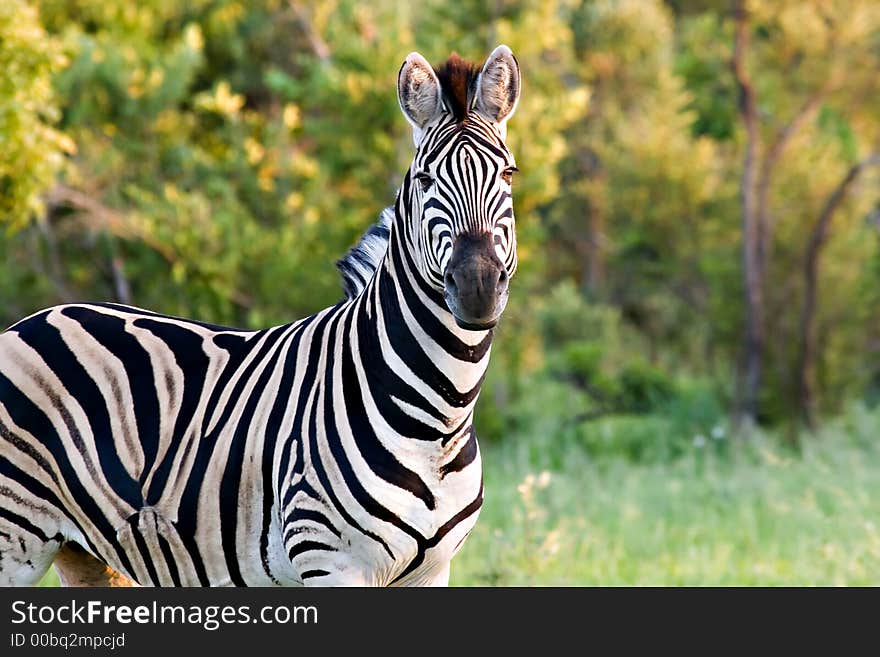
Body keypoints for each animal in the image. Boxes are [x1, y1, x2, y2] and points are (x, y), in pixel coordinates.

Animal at [0, 47, 520, 588]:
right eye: (424, 180)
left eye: (508, 175)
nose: (478, 286)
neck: (437, 422)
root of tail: (31, 321)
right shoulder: (330, 561)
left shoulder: (432, 571)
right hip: (15, 540)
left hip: (87, 552)